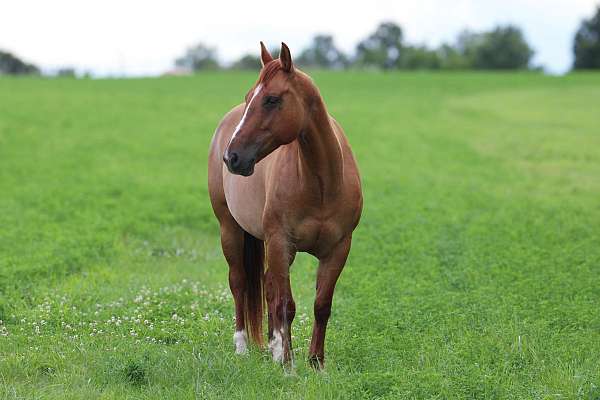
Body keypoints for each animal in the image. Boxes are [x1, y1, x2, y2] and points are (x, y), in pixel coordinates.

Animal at [209, 41, 364, 368]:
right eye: (249, 98)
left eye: (271, 99)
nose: (232, 157)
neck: (321, 184)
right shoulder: (282, 243)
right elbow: (286, 305)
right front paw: (289, 363)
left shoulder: (338, 249)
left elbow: (321, 304)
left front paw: (315, 362)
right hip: (230, 229)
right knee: (240, 282)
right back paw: (243, 347)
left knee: (268, 286)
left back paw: (273, 346)